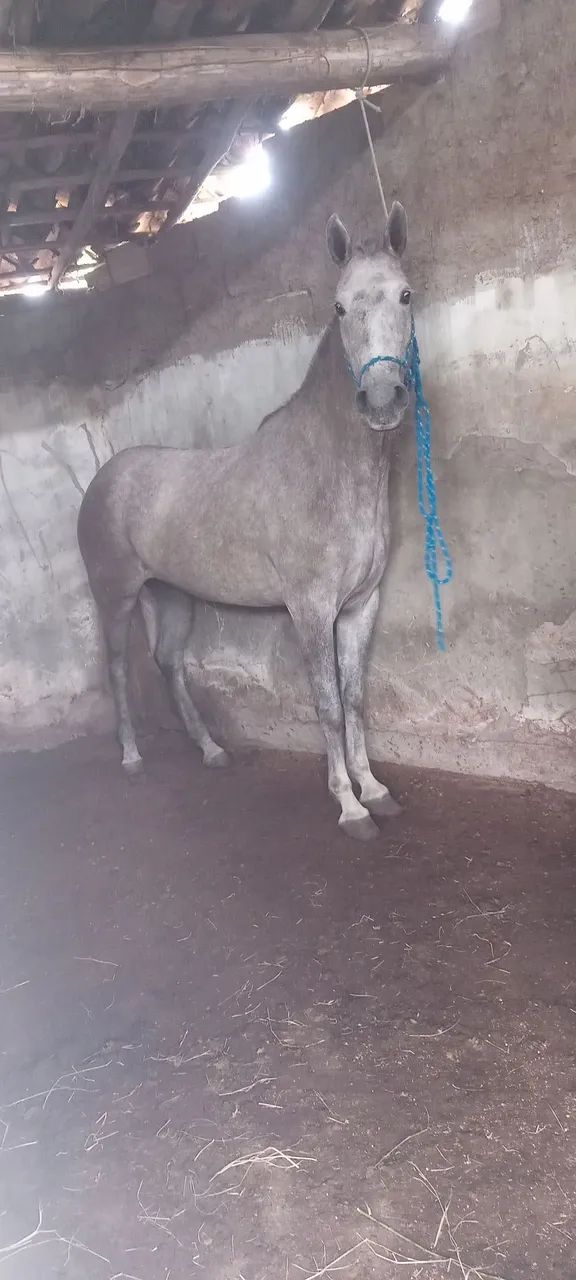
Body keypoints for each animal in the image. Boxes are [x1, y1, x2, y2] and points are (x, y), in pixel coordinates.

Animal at [77, 202, 413, 841]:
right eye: (339, 306)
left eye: (406, 295)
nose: (382, 399)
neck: (329, 469)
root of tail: (105, 478)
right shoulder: (311, 610)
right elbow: (329, 706)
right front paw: (349, 806)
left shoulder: (362, 606)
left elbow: (356, 698)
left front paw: (377, 790)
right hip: (117, 596)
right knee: (117, 668)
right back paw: (131, 757)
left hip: (174, 596)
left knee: (168, 664)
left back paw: (211, 751)